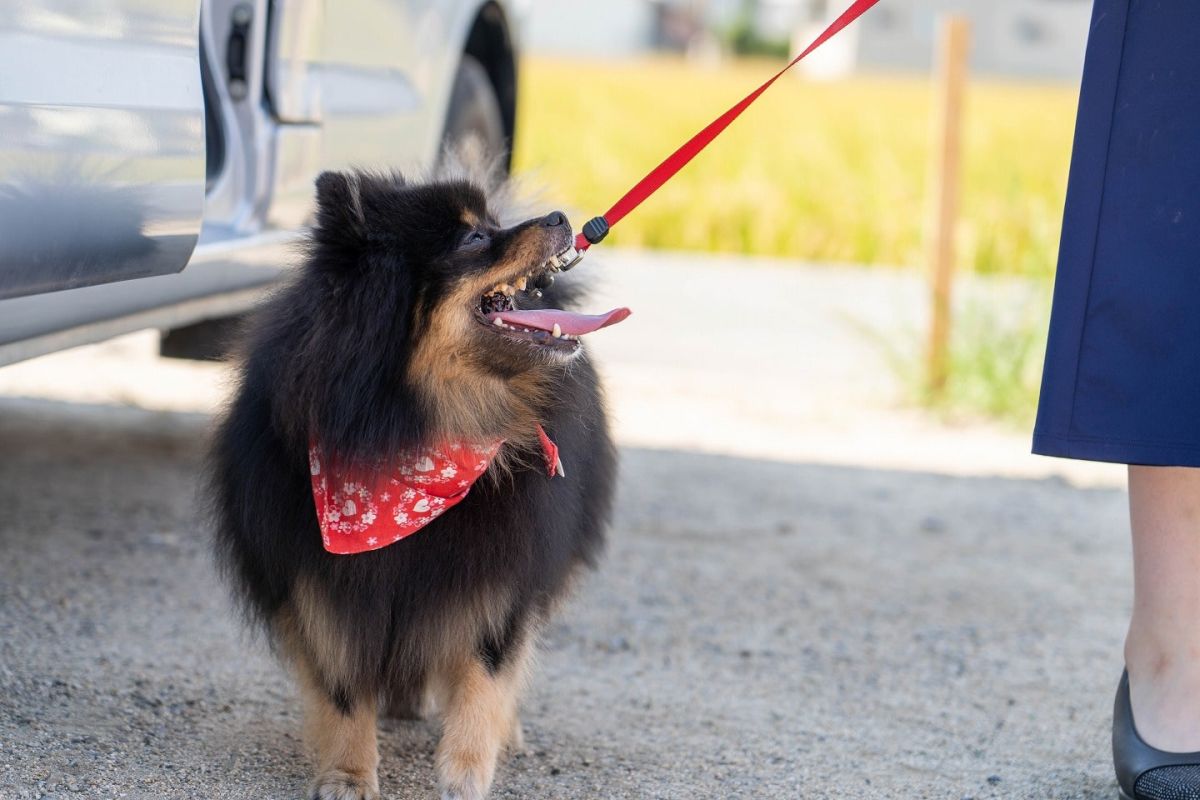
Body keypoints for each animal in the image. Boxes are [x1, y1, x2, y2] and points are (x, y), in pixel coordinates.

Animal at [208, 172, 628, 796]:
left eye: (493, 221)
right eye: (474, 237)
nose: (560, 218)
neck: (414, 432)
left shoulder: (502, 570)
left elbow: (485, 671)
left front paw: (466, 769)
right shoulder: (320, 578)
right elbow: (342, 685)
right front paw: (348, 772)